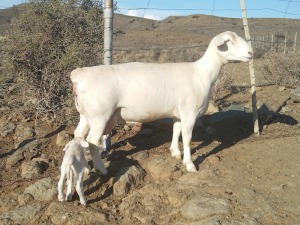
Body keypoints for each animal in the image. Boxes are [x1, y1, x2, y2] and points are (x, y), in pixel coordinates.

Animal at [71, 30, 253, 174]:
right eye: (228, 41)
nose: (251, 53)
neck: (202, 73)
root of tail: (79, 75)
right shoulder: (189, 112)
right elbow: (187, 138)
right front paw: (190, 164)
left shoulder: (178, 113)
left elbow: (176, 131)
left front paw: (175, 152)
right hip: (100, 115)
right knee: (93, 141)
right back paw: (101, 169)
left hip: (85, 115)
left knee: (78, 135)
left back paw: (85, 167)